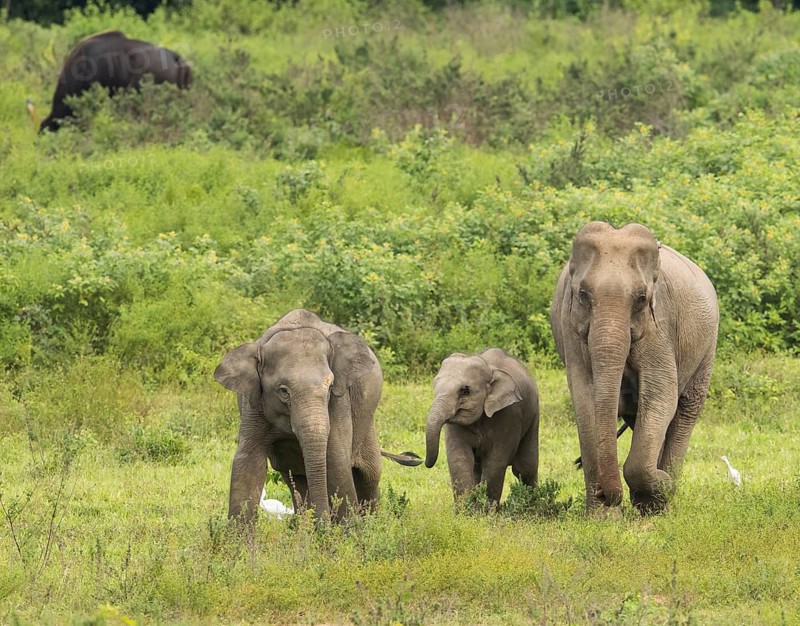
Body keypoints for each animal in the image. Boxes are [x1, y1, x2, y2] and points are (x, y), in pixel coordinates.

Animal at [214, 309, 420, 523]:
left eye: (330, 386)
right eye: (283, 391)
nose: (324, 522)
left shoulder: (339, 400)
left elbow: (336, 459)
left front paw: (344, 531)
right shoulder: (252, 404)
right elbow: (248, 464)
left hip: (368, 423)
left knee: (368, 474)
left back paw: (371, 524)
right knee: (296, 477)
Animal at [424, 348, 540, 506]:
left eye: (465, 391)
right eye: (434, 385)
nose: (423, 462)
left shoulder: (510, 415)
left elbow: (495, 462)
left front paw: (487, 510)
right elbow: (459, 459)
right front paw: (465, 510)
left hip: (534, 417)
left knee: (525, 468)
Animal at [550, 221, 718, 515]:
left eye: (641, 298)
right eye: (583, 295)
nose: (606, 494)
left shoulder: (660, 326)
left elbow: (661, 394)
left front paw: (660, 488)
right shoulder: (570, 326)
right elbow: (585, 397)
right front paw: (603, 518)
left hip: (708, 347)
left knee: (685, 409)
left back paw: (661, 494)